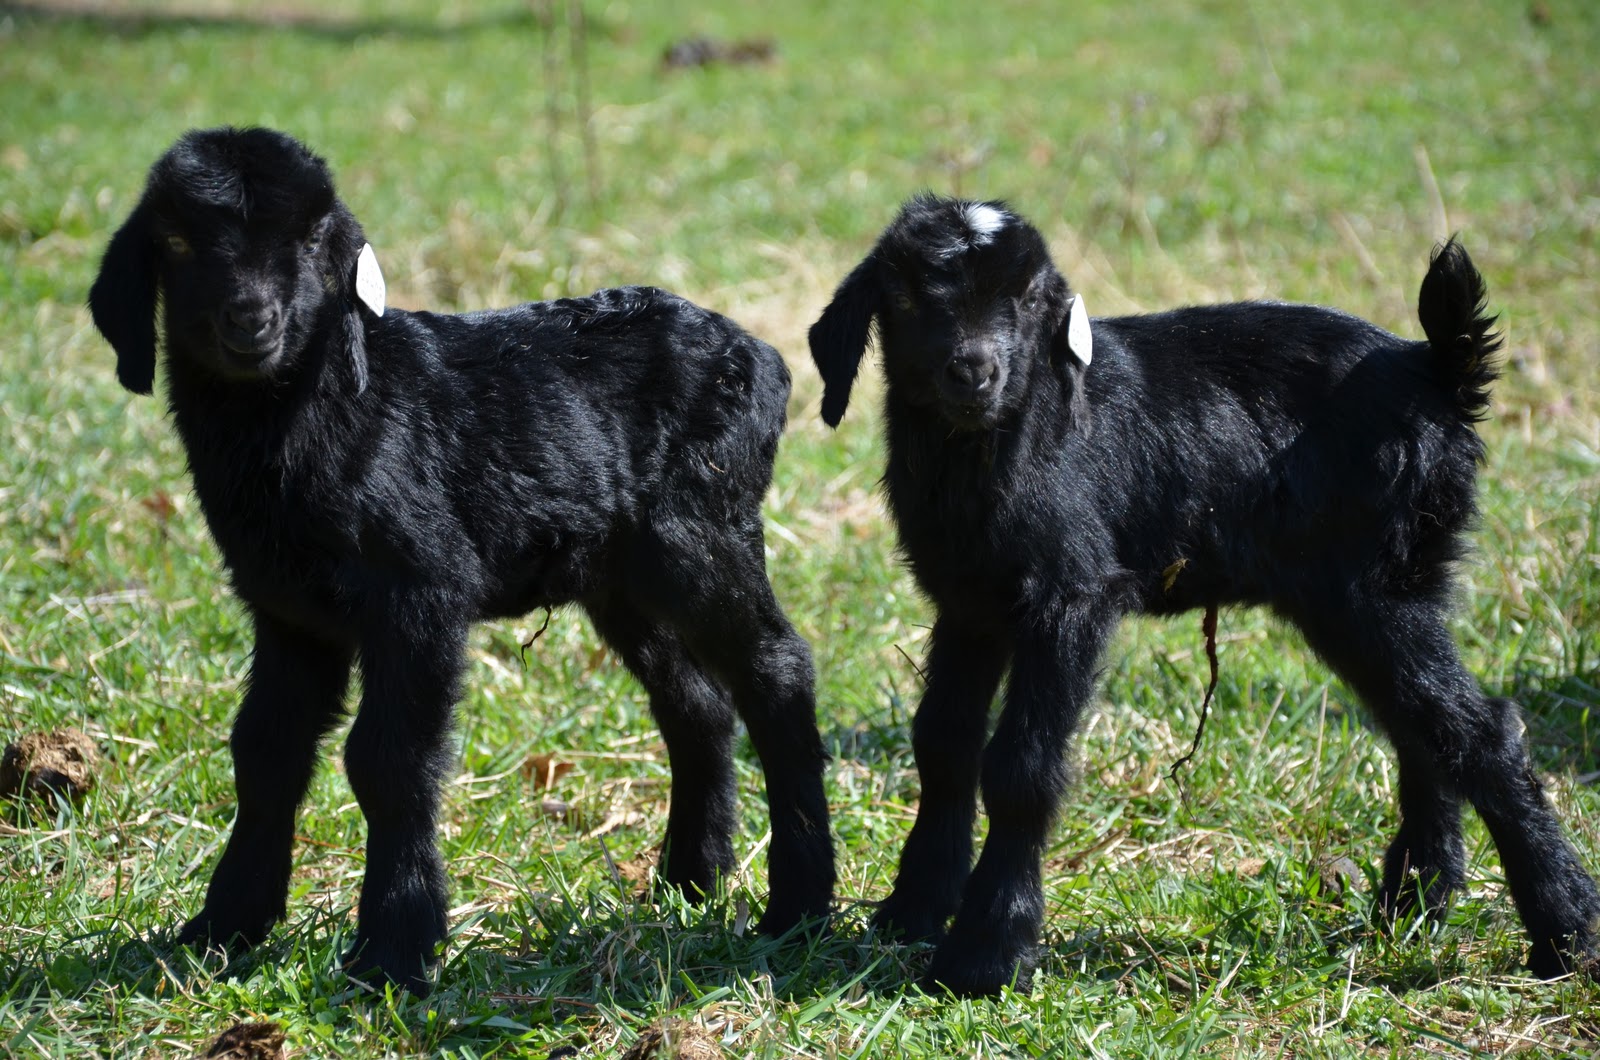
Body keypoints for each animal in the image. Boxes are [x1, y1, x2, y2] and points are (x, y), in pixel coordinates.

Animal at [88, 126, 834, 995]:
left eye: (312, 237)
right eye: (175, 240)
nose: (251, 321)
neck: (333, 409)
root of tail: (766, 360)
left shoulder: (420, 589)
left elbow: (388, 760)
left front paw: (393, 949)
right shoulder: (288, 611)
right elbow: (264, 752)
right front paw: (223, 928)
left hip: (701, 531)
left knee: (776, 668)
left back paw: (799, 905)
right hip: (621, 577)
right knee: (698, 702)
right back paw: (691, 877)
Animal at [808, 194, 1600, 996]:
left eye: (1030, 298)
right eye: (907, 296)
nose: (973, 370)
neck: (1002, 444)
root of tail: (1434, 369)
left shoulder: (1071, 594)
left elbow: (1021, 767)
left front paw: (984, 954)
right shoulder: (967, 603)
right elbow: (942, 745)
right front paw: (910, 912)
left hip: (1370, 589)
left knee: (1482, 730)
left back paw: (1565, 933)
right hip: (1385, 585)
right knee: (1425, 728)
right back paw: (1416, 902)